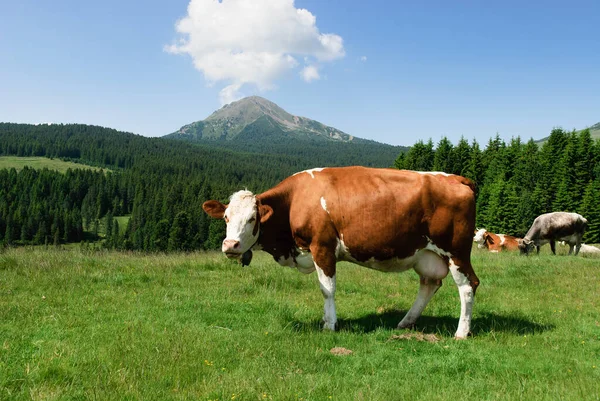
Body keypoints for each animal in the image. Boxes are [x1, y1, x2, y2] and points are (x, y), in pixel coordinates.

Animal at [204, 166, 480, 338]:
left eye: (252, 219)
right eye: (226, 217)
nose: (230, 246)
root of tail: (456, 178)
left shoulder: (322, 247)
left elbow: (327, 289)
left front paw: (329, 325)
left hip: (456, 251)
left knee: (468, 285)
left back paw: (461, 332)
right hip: (426, 254)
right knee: (429, 284)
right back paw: (406, 322)